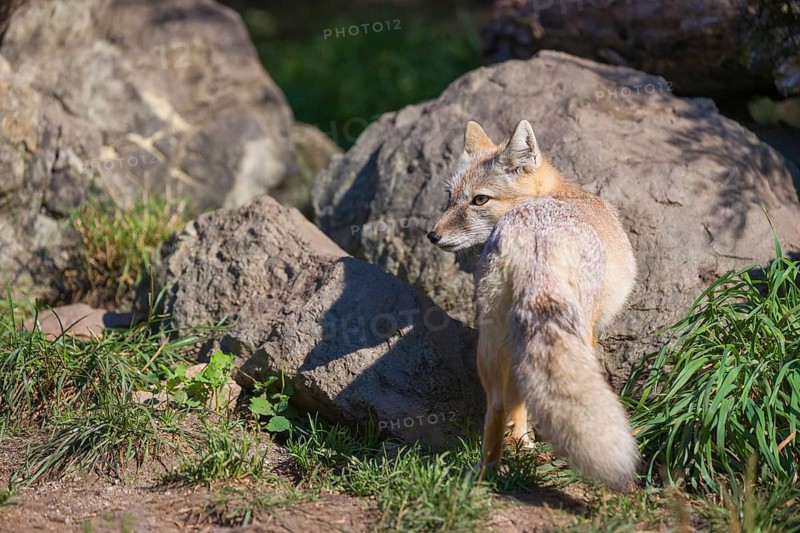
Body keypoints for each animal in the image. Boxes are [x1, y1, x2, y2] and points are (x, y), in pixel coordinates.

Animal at [427, 119, 639, 491]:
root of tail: (537, 236)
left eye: (478, 199)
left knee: (499, 407)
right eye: (450, 198)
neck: (554, 194)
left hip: (492, 344)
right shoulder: (593, 332)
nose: (432, 235)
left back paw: (493, 470)